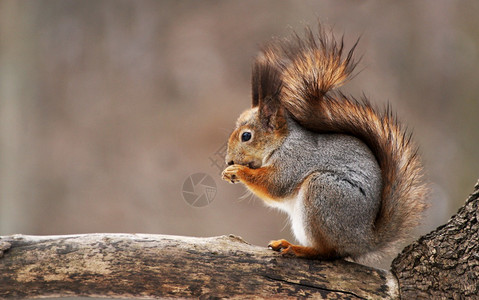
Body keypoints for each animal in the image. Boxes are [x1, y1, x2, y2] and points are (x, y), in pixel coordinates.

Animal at [223, 24, 430, 262]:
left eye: (246, 136)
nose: (228, 161)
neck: (282, 142)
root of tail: (363, 240)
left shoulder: (295, 159)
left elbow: (275, 185)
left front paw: (237, 172)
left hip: (323, 192)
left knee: (327, 251)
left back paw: (297, 248)